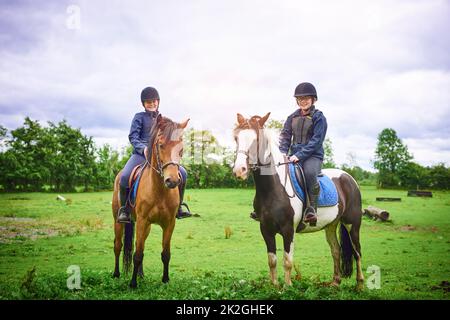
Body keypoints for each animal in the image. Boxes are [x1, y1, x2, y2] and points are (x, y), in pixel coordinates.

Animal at [114, 114, 190, 288]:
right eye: (161, 145)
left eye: (181, 148)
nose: (172, 181)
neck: (160, 190)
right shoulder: (142, 221)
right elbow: (137, 254)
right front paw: (133, 284)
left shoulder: (169, 223)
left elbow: (165, 253)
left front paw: (166, 280)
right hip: (118, 221)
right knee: (118, 245)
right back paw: (116, 274)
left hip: (146, 226)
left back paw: (141, 275)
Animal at [234, 113, 364, 290]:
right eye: (236, 138)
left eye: (256, 140)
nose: (239, 170)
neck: (274, 188)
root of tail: (349, 177)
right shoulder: (265, 229)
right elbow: (272, 260)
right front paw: (274, 286)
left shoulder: (288, 229)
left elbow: (287, 261)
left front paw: (287, 288)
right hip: (331, 225)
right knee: (336, 250)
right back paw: (335, 283)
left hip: (353, 224)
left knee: (357, 252)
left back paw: (360, 286)